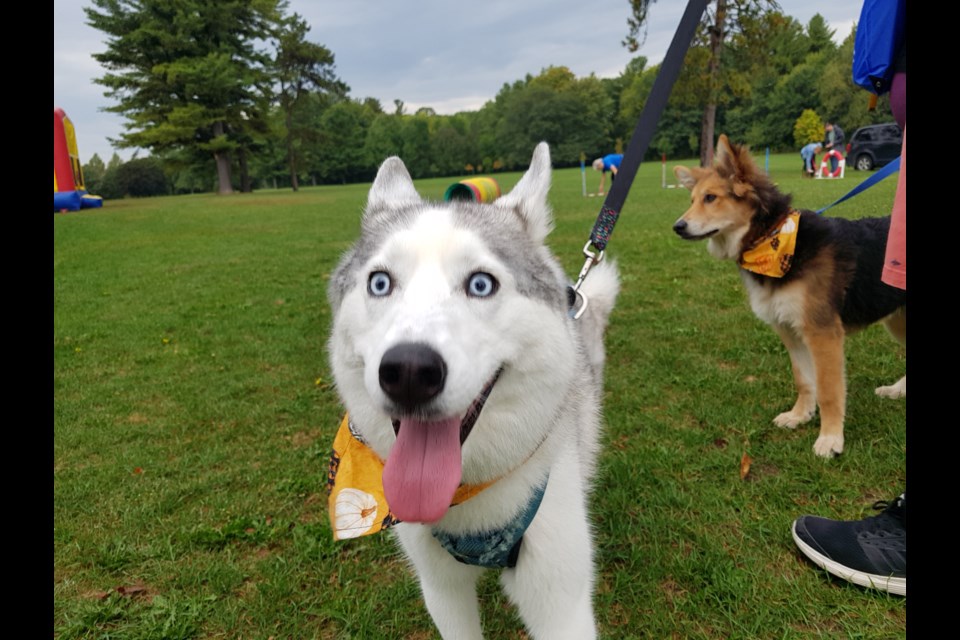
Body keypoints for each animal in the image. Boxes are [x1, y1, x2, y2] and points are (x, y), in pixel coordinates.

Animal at [672, 135, 904, 458]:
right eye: (692, 200)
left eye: (710, 198)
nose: (677, 227)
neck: (771, 238)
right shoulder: (790, 330)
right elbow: (804, 380)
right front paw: (800, 416)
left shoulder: (822, 333)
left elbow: (829, 391)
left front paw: (830, 438)